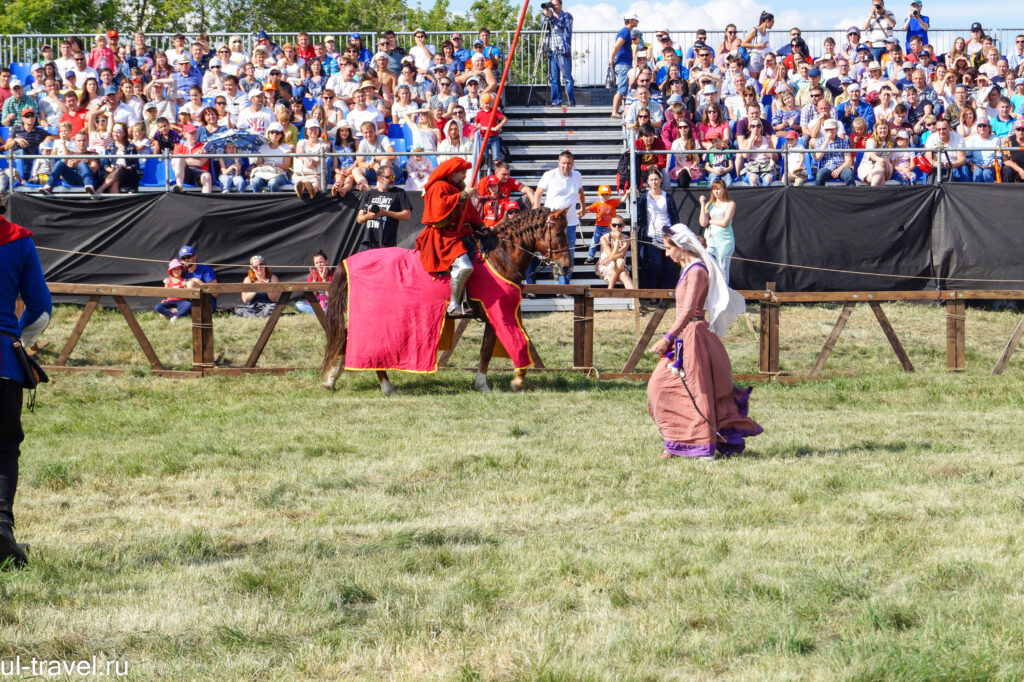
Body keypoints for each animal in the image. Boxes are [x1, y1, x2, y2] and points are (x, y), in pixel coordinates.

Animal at [319, 204, 573, 391]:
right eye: (559, 233)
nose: (566, 268)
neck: (499, 256)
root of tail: (349, 261)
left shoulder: (491, 317)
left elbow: (486, 350)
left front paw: (482, 384)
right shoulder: (499, 313)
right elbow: (513, 342)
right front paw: (516, 380)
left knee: (347, 340)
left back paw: (332, 379)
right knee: (362, 346)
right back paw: (385, 386)